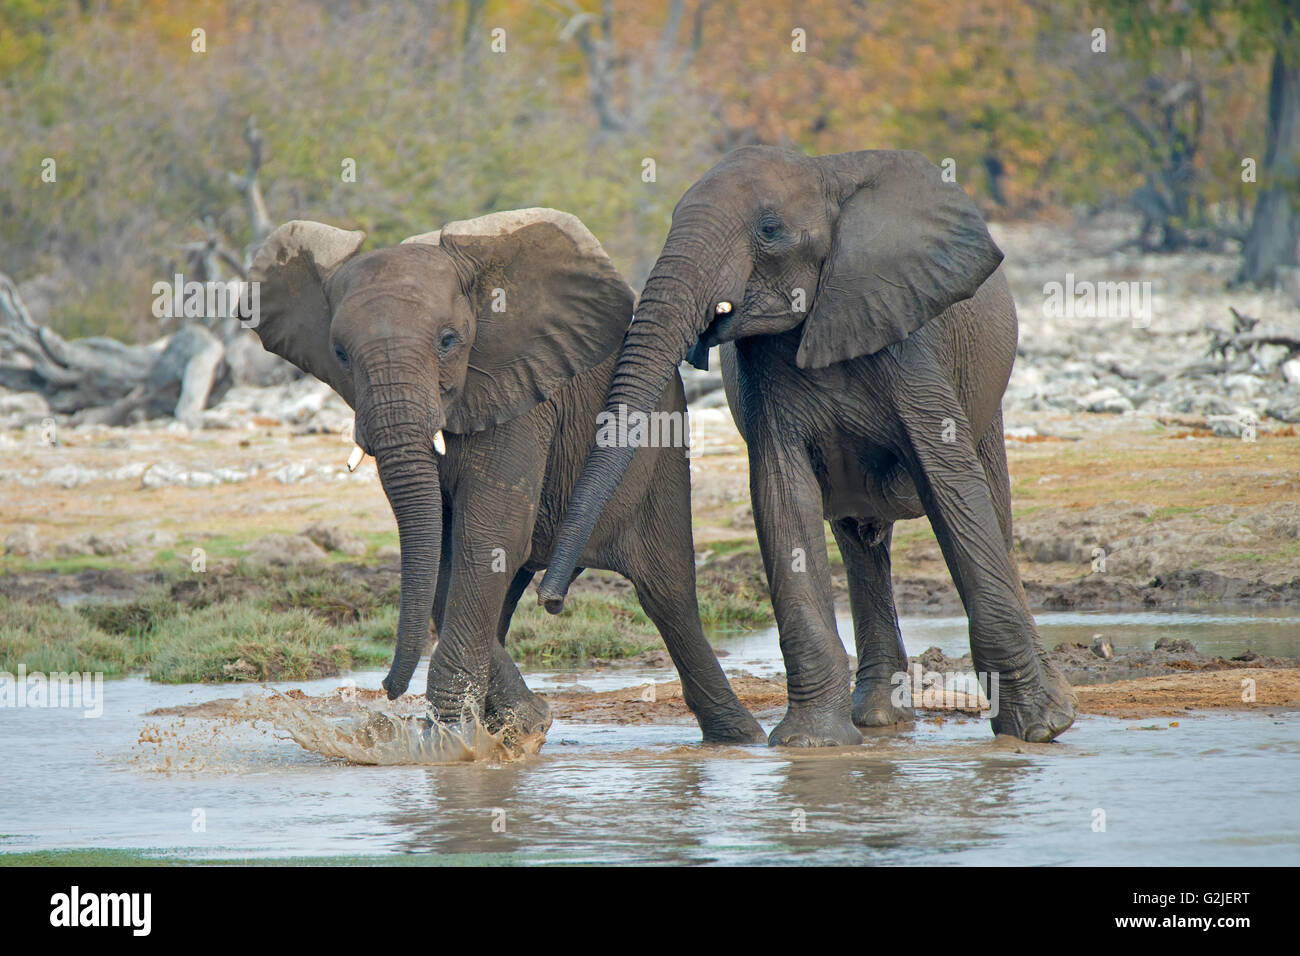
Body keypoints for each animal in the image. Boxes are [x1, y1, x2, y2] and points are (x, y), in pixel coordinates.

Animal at [248, 209, 764, 749]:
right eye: (340, 354)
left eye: (448, 341)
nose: (389, 689)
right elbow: (449, 550)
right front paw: (516, 729)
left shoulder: (519, 391)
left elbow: (487, 536)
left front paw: (453, 743)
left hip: (660, 441)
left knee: (667, 591)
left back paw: (739, 737)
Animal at [538, 147, 1076, 749]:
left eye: (769, 230)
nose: (551, 601)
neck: (825, 177)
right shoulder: (763, 373)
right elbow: (783, 497)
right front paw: (812, 745)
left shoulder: (911, 343)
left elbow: (952, 491)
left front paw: (1038, 730)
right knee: (860, 540)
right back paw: (877, 719)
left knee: (993, 514)